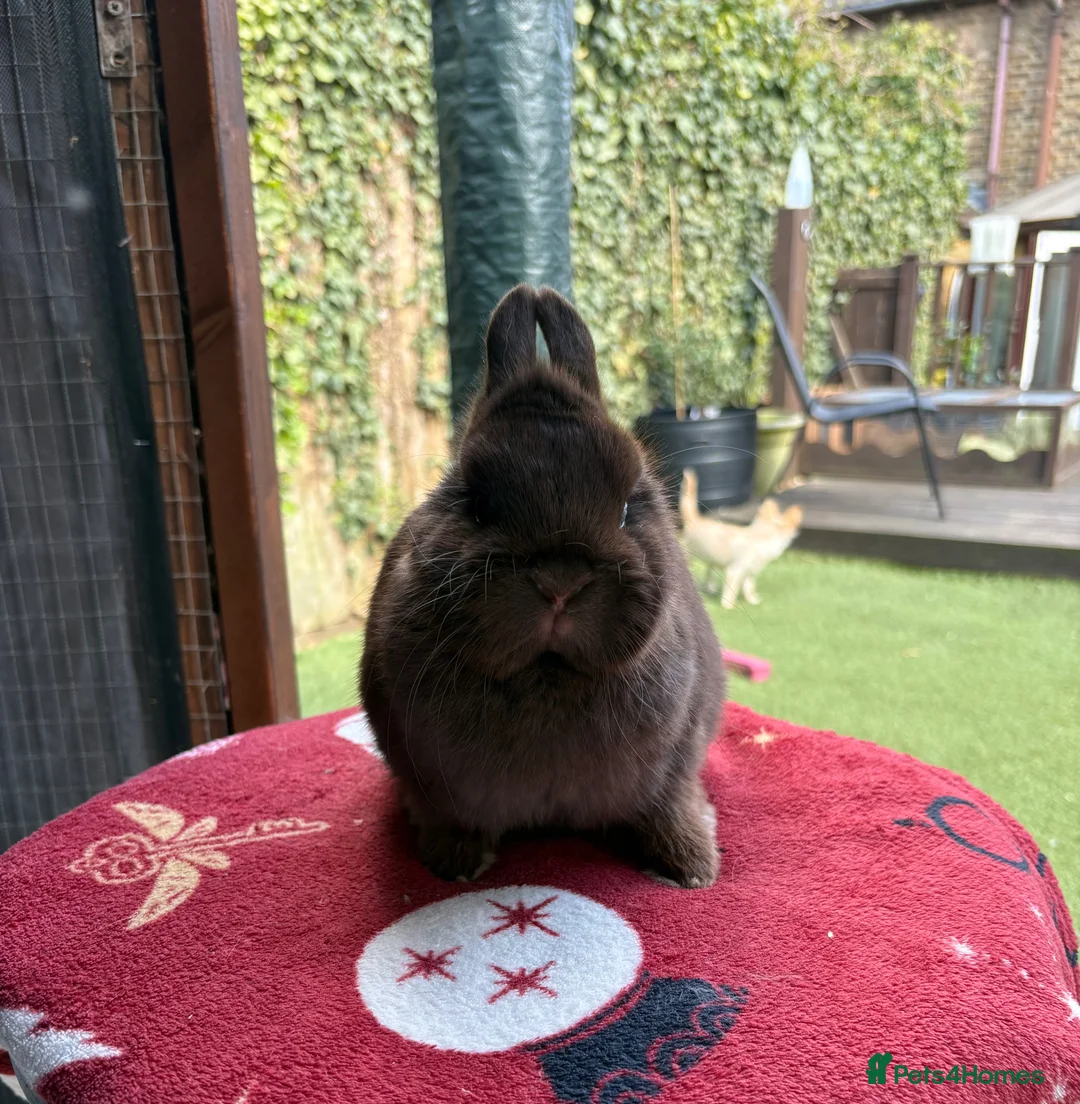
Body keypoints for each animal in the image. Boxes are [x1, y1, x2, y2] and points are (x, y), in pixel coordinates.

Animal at [360, 284, 725, 888]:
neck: (548, 675)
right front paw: (454, 865)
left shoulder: (676, 763)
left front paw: (692, 867)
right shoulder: (428, 781)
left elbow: (669, 805)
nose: (560, 584)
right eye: (476, 503)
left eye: (628, 507)